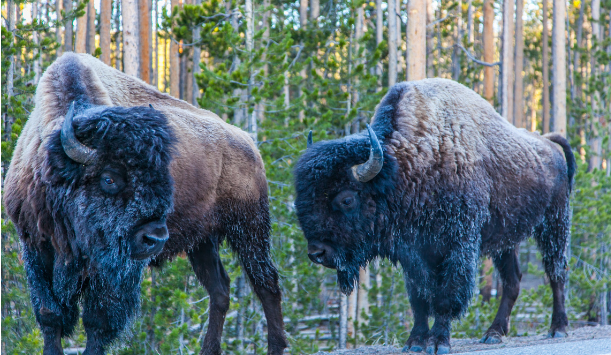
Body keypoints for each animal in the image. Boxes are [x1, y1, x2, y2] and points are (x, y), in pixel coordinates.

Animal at [3, 53, 288, 355]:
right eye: (109, 178)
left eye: (164, 176)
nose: (155, 238)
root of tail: (250, 144)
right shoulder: (37, 246)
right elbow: (50, 315)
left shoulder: (114, 268)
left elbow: (97, 323)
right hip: (203, 241)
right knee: (220, 290)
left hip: (249, 228)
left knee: (267, 284)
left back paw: (276, 346)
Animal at [294, 80, 576, 355]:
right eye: (300, 199)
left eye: (346, 199)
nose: (317, 253)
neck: (409, 165)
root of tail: (548, 143)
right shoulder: (412, 254)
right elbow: (418, 298)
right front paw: (415, 342)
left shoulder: (456, 247)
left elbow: (445, 296)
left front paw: (439, 342)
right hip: (506, 240)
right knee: (512, 281)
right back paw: (493, 333)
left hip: (554, 223)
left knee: (556, 272)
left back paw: (558, 328)